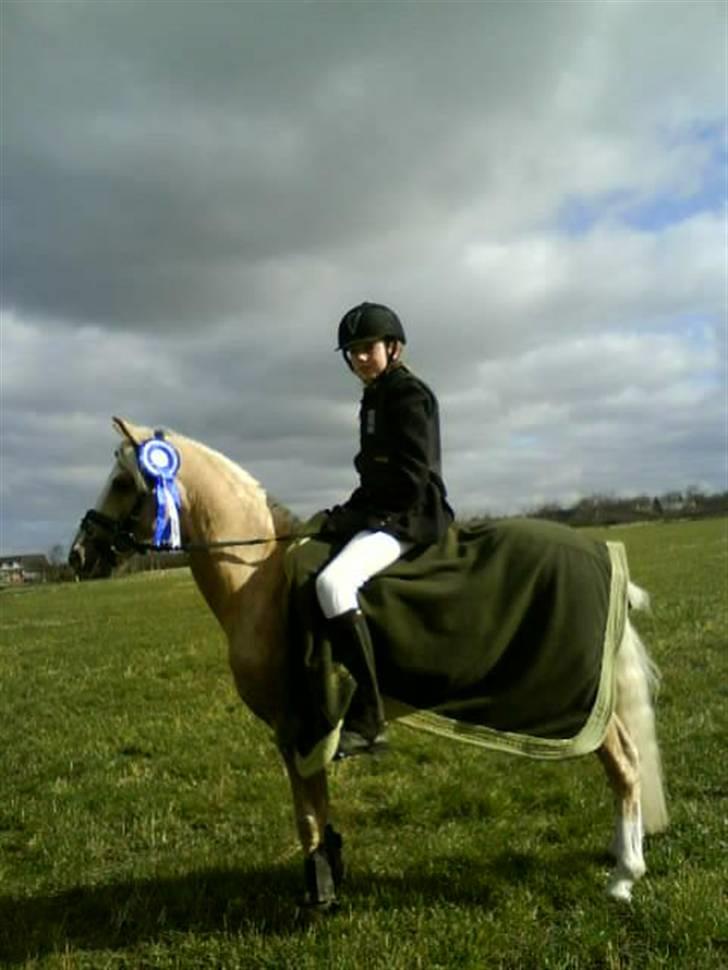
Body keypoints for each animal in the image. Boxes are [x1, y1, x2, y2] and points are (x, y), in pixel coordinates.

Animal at [71, 418, 668, 908]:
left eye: (122, 482)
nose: (80, 554)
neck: (260, 577)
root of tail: (600, 557)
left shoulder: (295, 723)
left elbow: (307, 811)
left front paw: (321, 891)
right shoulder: (301, 727)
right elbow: (317, 804)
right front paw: (332, 872)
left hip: (576, 698)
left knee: (623, 761)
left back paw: (623, 877)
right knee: (625, 760)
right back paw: (620, 857)